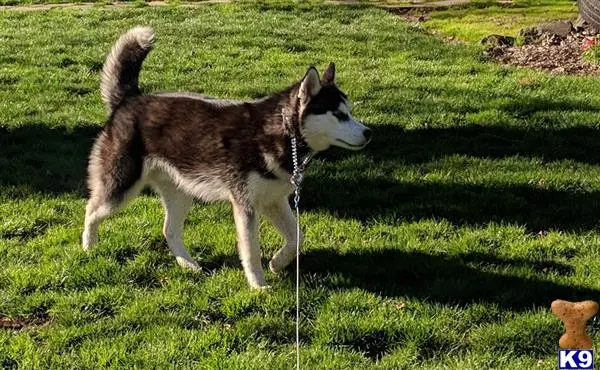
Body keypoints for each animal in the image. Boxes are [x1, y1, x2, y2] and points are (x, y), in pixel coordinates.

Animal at [80, 27, 370, 290]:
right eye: (339, 115)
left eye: (350, 112)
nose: (369, 133)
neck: (283, 132)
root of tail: (131, 99)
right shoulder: (245, 206)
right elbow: (251, 251)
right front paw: (258, 285)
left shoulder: (273, 200)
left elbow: (297, 237)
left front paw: (278, 262)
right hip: (121, 188)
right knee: (91, 210)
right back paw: (88, 245)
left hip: (181, 193)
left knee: (169, 230)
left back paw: (188, 264)